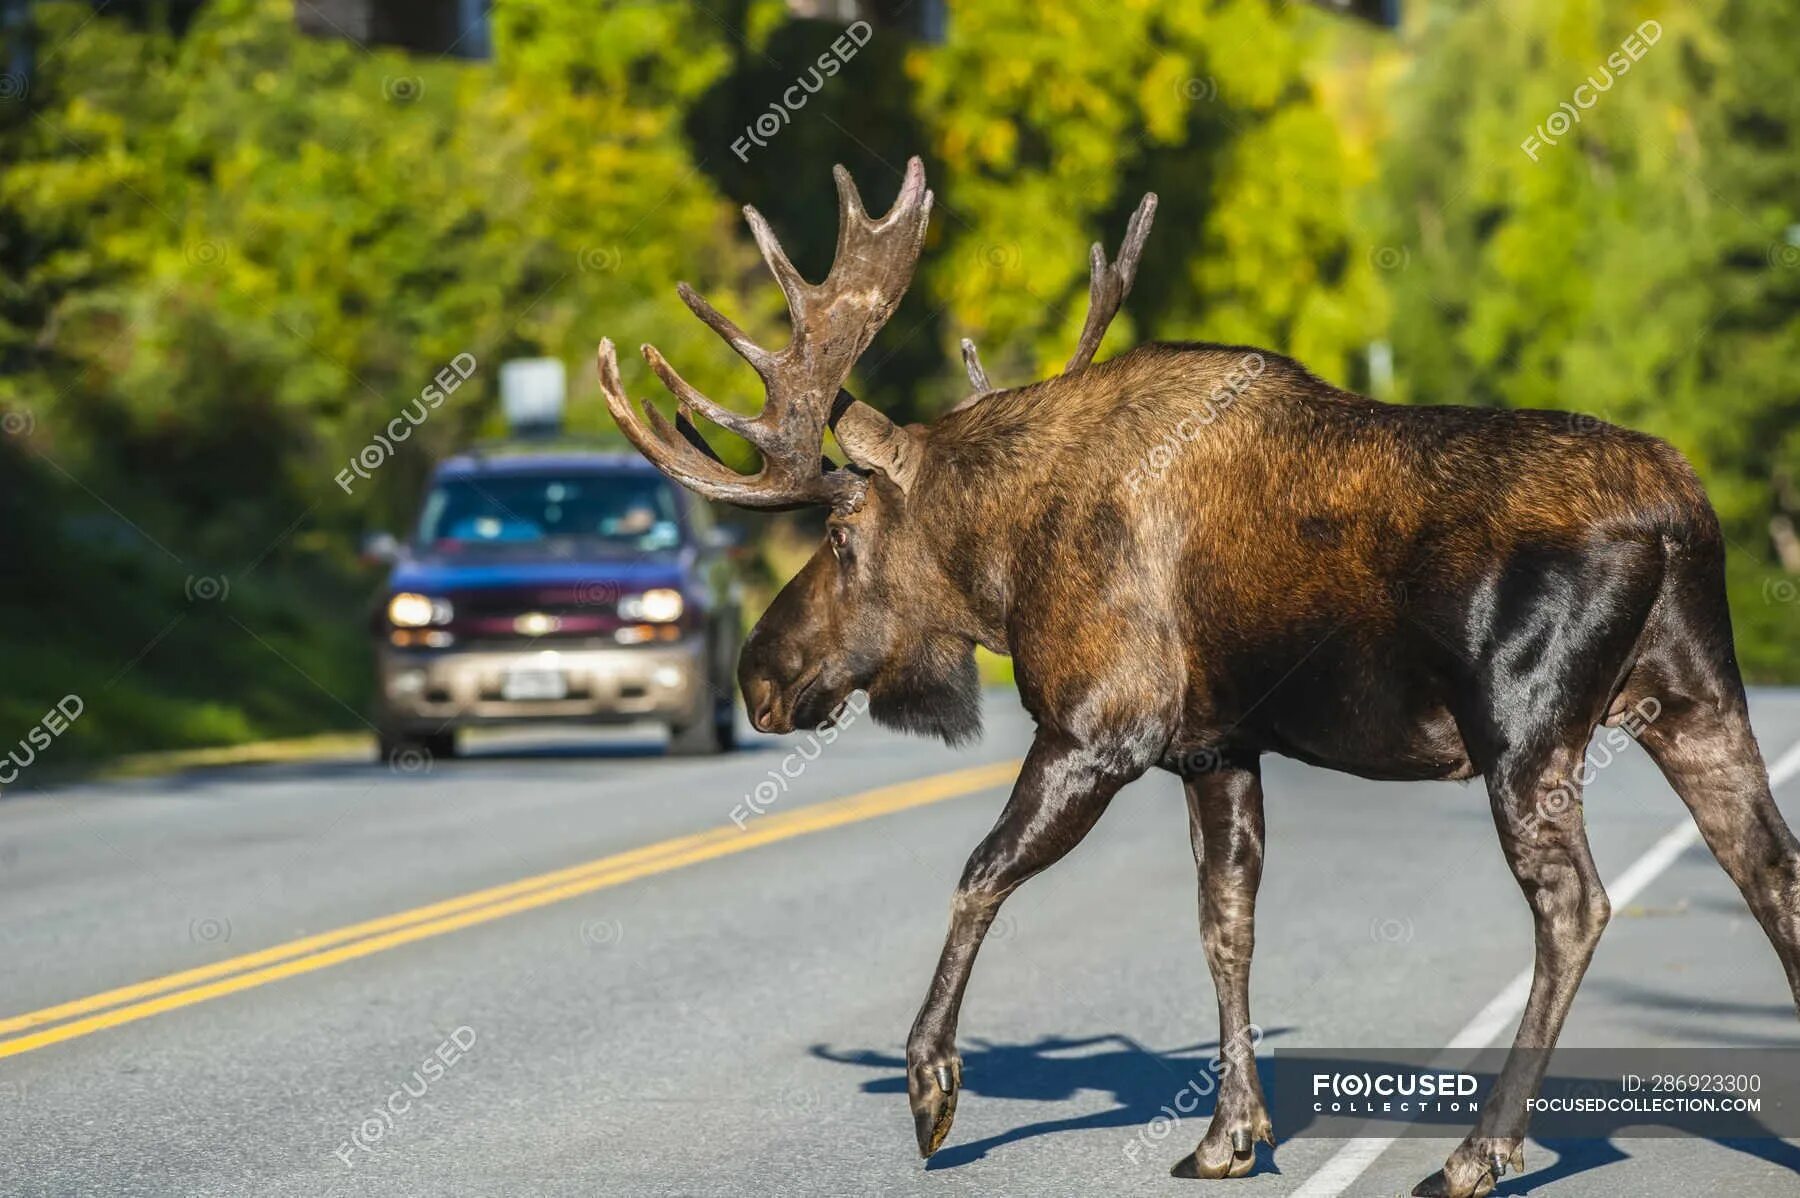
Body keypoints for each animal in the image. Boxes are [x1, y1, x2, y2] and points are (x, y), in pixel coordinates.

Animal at [594, 160, 1800, 1194]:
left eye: (841, 534)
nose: (758, 673)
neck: (1005, 560)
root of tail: (1678, 514)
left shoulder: (1099, 727)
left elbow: (980, 873)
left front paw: (932, 1090)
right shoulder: (1215, 747)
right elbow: (1227, 923)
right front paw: (1229, 1135)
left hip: (1526, 726)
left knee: (1576, 904)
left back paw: (1476, 1152)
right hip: (1698, 700)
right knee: (1771, 871)